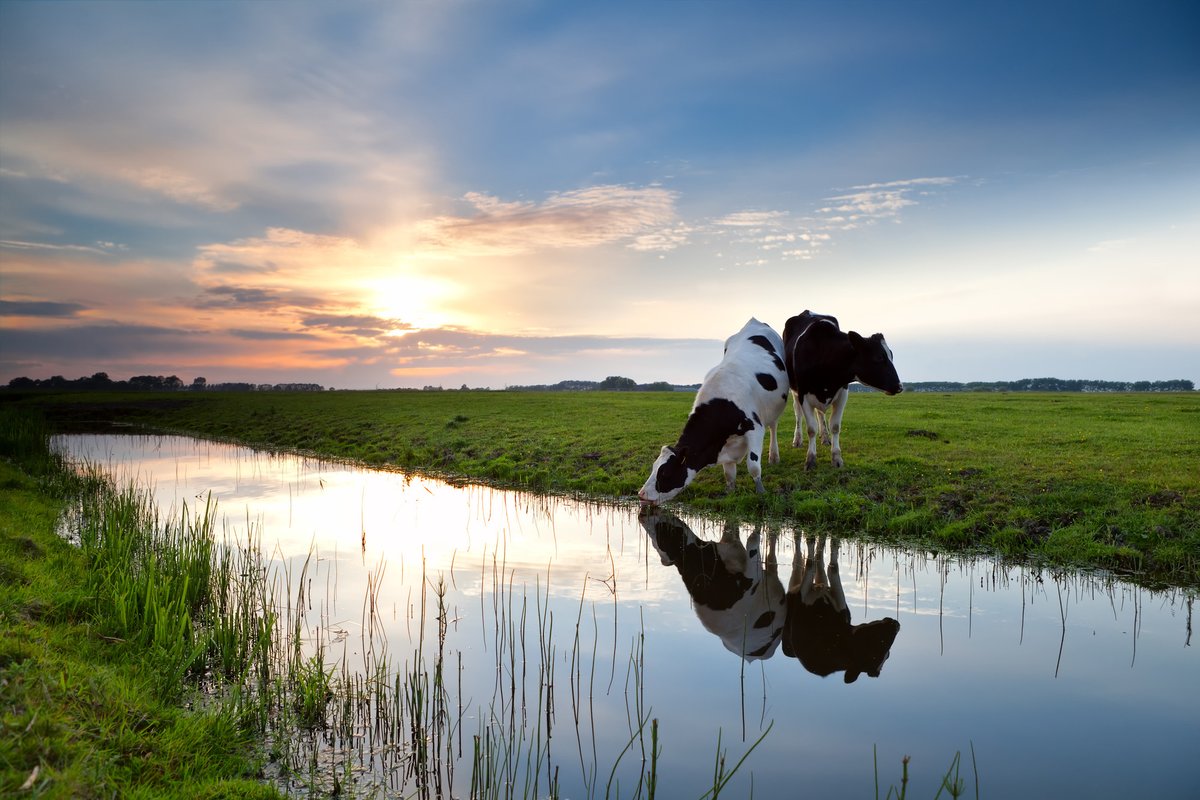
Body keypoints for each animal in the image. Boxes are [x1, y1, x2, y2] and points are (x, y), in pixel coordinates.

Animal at [633, 316, 792, 501]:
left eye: (665, 473)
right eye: (653, 467)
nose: (642, 494)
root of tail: (754, 321)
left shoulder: (755, 428)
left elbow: (753, 465)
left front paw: (761, 491)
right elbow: (729, 474)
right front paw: (729, 492)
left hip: (773, 409)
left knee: (773, 426)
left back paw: (773, 456)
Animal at [777, 537, 902, 681]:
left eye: (888, 655)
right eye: (878, 648)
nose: (896, 624)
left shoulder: (839, 604)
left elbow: (831, 567)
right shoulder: (801, 597)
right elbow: (813, 564)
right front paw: (812, 540)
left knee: (818, 561)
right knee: (798, 557)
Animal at [782, 309, 902, 470]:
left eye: (891, 356)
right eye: (878, 357)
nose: (900, 386)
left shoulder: (842, 393)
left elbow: (835, 426)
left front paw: (836, 458)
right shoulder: (803, 394)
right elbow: (811, 429)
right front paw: (810, 459)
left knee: (820, 413)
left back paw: (825, 438)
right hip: (794, 391)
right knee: (798, 413)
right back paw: (797, 440)